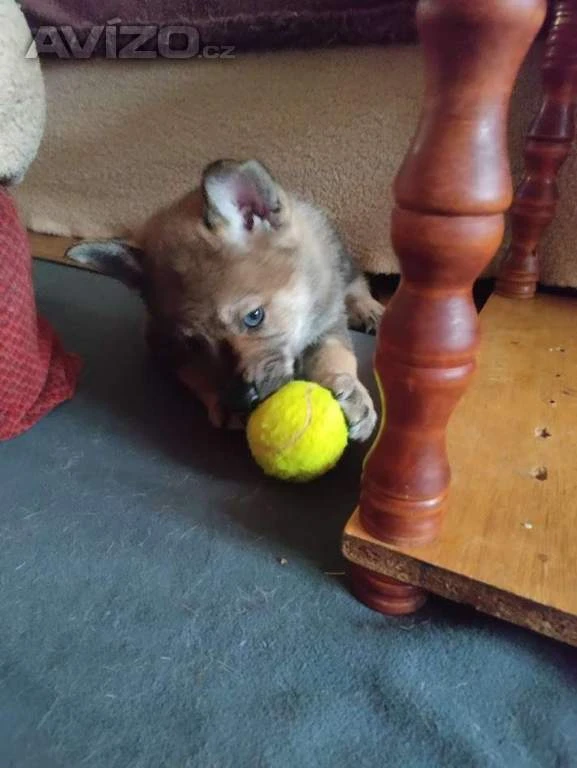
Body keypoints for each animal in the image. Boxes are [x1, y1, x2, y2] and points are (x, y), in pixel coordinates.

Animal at [67, 159, 383, 440]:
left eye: (254, 317)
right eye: (193, 343)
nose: (240, 401)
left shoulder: (328, 322)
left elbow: (336, 355)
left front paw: (353, 393)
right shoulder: (164, 346)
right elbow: (194, 372)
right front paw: (220, 402)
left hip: (341, 260)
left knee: (358, 281)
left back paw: (369, 309)